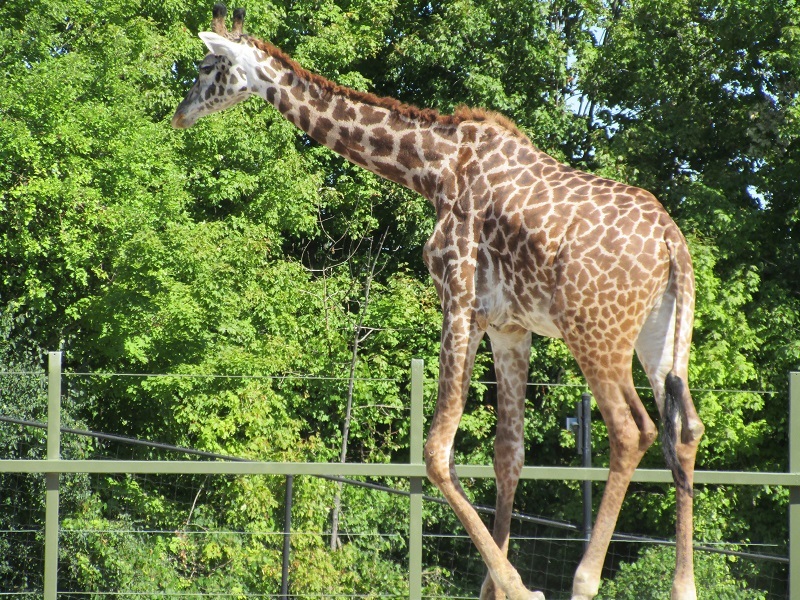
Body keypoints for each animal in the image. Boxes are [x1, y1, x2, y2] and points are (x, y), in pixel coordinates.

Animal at [172, 5, 704, 600]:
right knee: (684, 430)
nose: (179, 115)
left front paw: (518, 586)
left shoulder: (458, 299)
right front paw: (497, 587)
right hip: (659, 336)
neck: (432, 169)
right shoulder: (508, 326)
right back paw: (684, 585)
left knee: (632, 431)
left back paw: (584, 579)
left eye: (207, 65)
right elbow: (508, 455)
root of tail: (672, 243)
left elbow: (435, 451)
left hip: (595, 332)